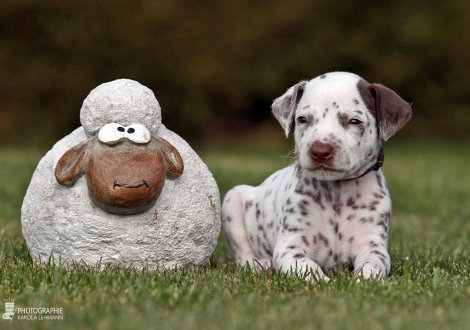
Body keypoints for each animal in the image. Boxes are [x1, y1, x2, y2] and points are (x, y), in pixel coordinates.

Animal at [221, 72, 412, 282]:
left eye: (354, 121)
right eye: (303, 119)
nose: (320, 151)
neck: (337, 191)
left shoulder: (372, 246)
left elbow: (372, 265)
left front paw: (364, 281)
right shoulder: (290, 247)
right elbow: (307, 267)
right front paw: (324, 282)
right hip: (232, 200)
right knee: (243, 256)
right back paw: (259, 266)